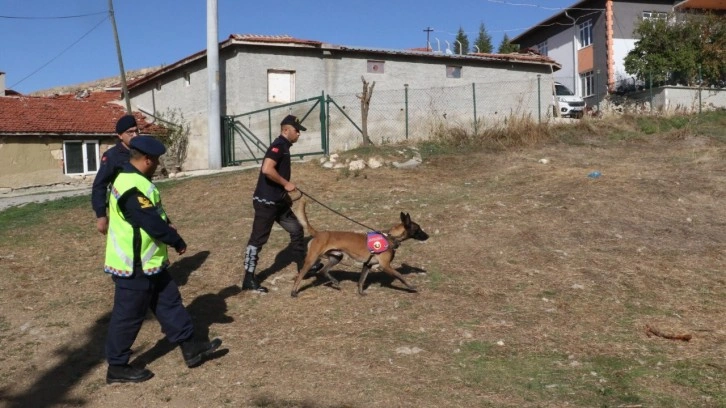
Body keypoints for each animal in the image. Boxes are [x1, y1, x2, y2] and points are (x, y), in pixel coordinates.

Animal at [290, 194, 426, 296]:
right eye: (418, 229)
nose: (427, 236)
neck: (389, 237)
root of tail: (319, 233)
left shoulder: (367, 265)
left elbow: (361, 280)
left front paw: (360, 293)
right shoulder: (385, 266)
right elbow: (400, 276)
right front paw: (411, 286)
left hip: (336, 257)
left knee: (324, 270)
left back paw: (334, 281)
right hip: (311, 260)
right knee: (300, 275)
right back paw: (293, 292)